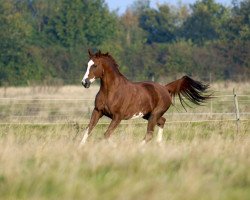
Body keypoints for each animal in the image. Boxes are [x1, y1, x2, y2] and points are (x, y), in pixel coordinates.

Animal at [79, 50, 210, 147]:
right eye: (87, 65)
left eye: (95, 65)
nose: (84, 83)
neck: (111, 91)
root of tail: (165, 88)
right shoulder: (98, 111)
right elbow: (88, 130)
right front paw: (80, 147)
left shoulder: (117, 117)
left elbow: (106, 135)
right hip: (148, 115)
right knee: (162, 121)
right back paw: (159, 143)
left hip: (154, 115)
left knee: (149, 134)